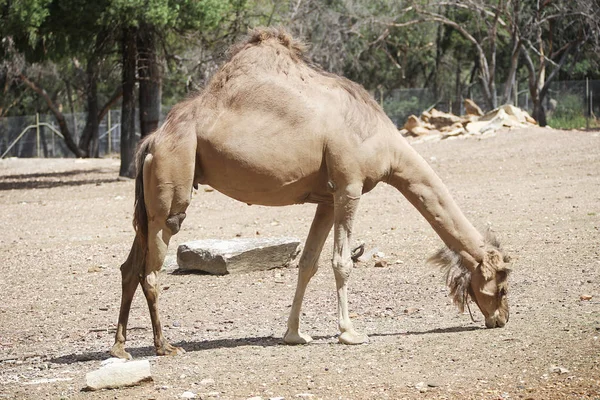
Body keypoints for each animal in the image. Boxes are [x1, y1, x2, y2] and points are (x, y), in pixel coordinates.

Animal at [109, 28, 510, 360]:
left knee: (130, 265)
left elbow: (308, 263)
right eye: (503, 281)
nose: (503, 319)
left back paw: (120, 348)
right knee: (151, 269)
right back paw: (164, 346)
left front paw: (294, 335)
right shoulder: (349, 186)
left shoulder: (327, 199)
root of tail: (151, 140)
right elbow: (342, 262)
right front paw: (350, 333)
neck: (384, 143)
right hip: (173, 182)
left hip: (149, 202)